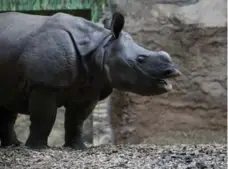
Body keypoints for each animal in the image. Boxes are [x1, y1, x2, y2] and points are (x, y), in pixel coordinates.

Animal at [0, 11, 181, 149]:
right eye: (141, 59)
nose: (173, 72)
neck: (101, 47)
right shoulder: (44, 84)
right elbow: (44, 117)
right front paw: (37, 148)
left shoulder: (90, 86)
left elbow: (77, 119)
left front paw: (78, 148)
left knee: (9, 104)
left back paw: (13, 145)